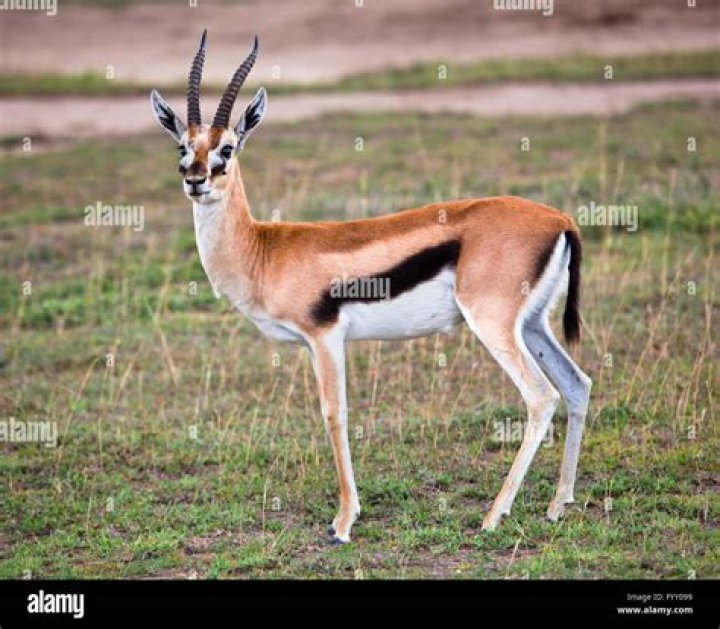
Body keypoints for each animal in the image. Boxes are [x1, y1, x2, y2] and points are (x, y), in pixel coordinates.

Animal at [150, 32, 592, 544]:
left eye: (227, 147)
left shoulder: (324, 337)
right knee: (577, 384)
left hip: (493, 324)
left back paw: (493, 515)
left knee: (541, 397)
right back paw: (558, 505)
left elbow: (334, 414)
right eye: (183, 146)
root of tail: (560, 219)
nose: (195, 180)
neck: (264, 249)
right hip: (534, 325)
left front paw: (343, 522)